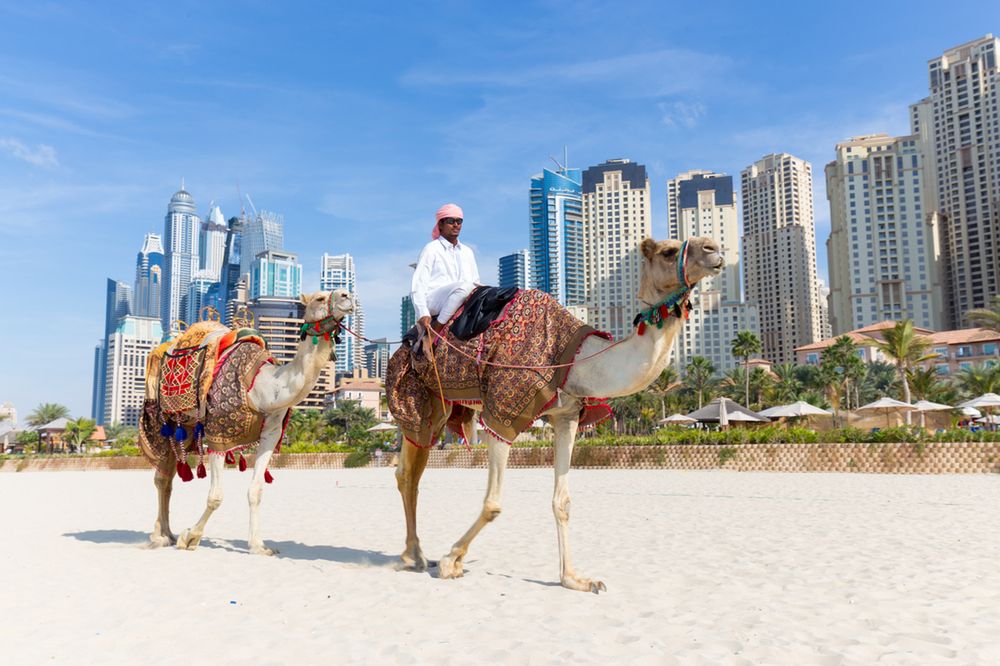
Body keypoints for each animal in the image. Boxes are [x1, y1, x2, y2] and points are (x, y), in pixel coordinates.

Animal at [143, 288, 354, 552]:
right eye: (319, 298)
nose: (348, 296)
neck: (264, 389)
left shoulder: (270, 435)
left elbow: (256, 491)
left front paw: (259, 546)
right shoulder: (218, 435)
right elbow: (216, 496)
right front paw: (190, 537)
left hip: (188, 426)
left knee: (169, 477)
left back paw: (167, 533)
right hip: (161, 418)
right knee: (161, 478)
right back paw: (159, 536)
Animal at [394, 236, 724, 588]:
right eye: (668, 251)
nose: (714, 249)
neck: (574, 360)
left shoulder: (567, 416)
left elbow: (562, 501)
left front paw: (575, 579)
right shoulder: (502, 415)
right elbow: (493, 504)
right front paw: (450, 561)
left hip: (443, 410)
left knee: (413, 473)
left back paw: (414, 554)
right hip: (418, 402)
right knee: (407, 472)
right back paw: (413, 557)